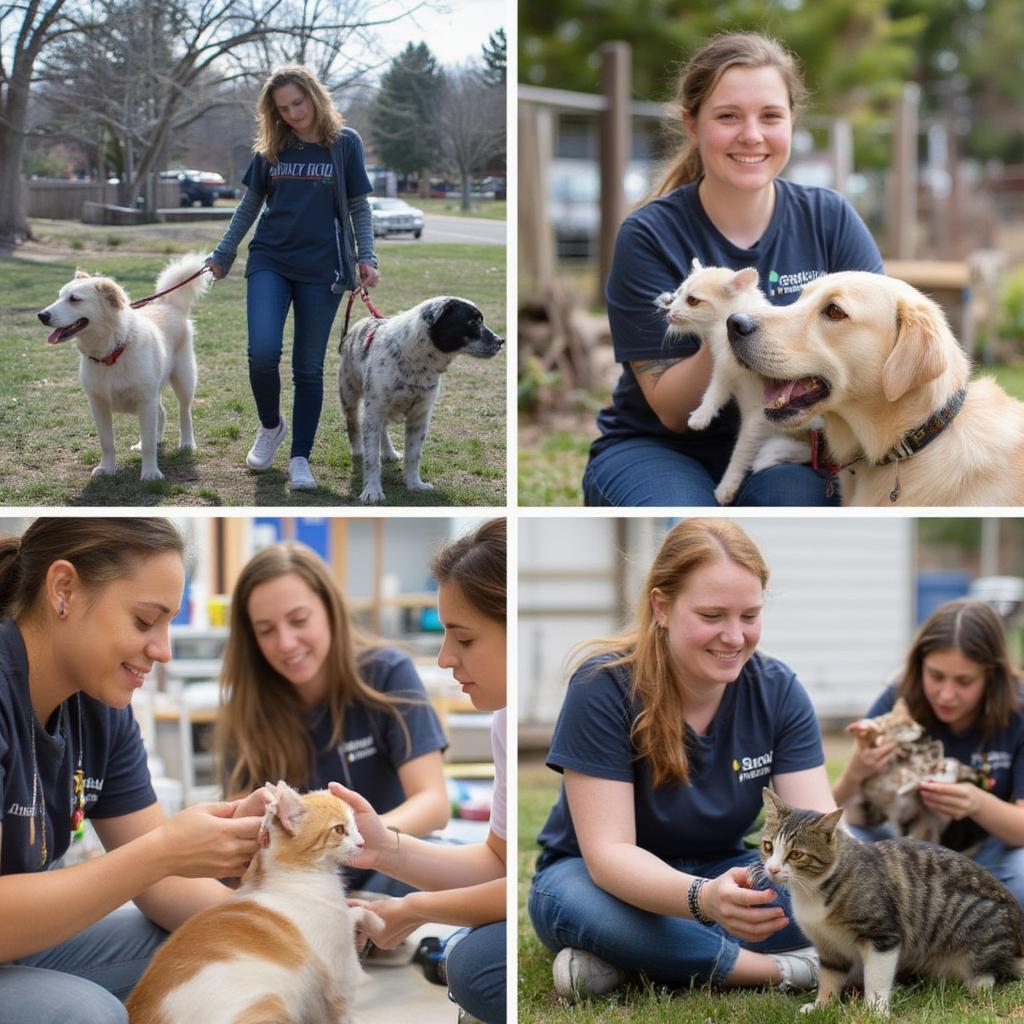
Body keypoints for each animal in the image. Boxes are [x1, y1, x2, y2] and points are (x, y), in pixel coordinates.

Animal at [126, 778, 385, 1019]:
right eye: (340, 830)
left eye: (356, 825)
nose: (362, 842)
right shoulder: (338, 967)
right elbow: (342, 1007)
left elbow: (354, 912)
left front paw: (377, 921)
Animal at [339, 296, 503, 503]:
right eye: (473, 322)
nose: (501, 341)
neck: (416, 362)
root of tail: (360, 322)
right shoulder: (374, 412)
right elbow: (372, 459)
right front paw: (372, 491)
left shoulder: (419, 416)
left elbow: (414, 455)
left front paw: (414, 484)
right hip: (350, 396)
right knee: (353, 425)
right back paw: (358, 450)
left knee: (383, 431)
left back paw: (390, 453)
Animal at [655, 262, 815, 505]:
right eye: (676, 296)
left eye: (692, 300)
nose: (670, 313)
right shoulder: (723, 371)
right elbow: (713, 393)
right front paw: (701, 416)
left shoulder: (760, 414)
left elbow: (741, 451)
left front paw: (728, 485)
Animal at [753, 782, 1024, 1015]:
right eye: (768, 846)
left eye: (796, 854)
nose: (773, 869)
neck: (811, 891)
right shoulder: (828, 946)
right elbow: (830, 976)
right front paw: (822, 1006)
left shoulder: (882, 935)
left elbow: (877, 977)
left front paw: (875, 1010)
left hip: (979, 933)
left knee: (989, 973)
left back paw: (975, 986)